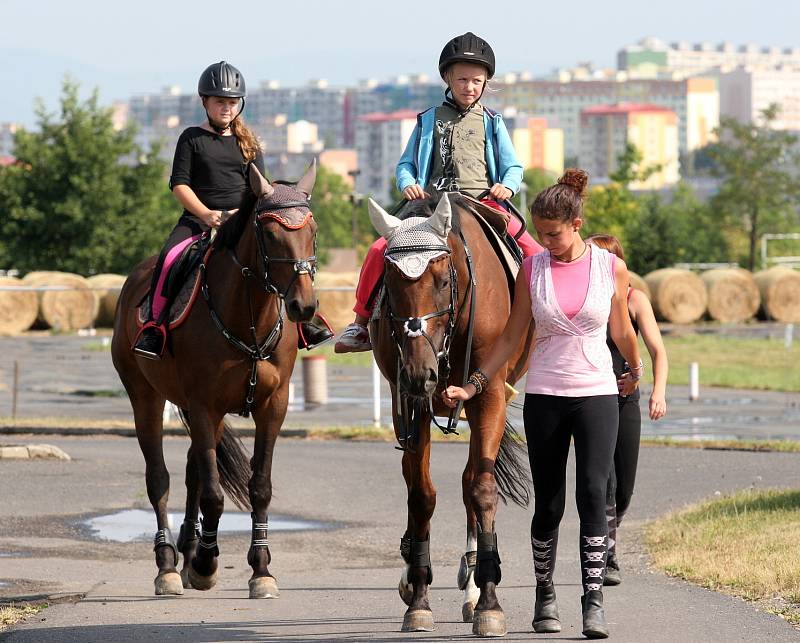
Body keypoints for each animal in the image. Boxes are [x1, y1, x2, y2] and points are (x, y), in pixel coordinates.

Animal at [112, 161, 318, 600]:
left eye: (312, 230)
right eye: (270, 232)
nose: (304, 306)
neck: (249, 316)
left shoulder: (272, 407)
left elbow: (259, 486)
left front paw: (261, 569)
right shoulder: (205, 406)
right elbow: (213, 494)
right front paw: (207, 563)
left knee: (193, 470)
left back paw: (188, 551)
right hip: (146, 398)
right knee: (159, 479)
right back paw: (169, 565)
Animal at [368, 194, 532, 636]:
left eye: (443, 280)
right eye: (388, 283)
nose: (419, 372)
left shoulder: (488, 395)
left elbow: (481, 489)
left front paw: (488, 602)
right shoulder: (409, 403)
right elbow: (421, 495)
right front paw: (419, 598)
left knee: (471, 480)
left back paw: (474, 584)